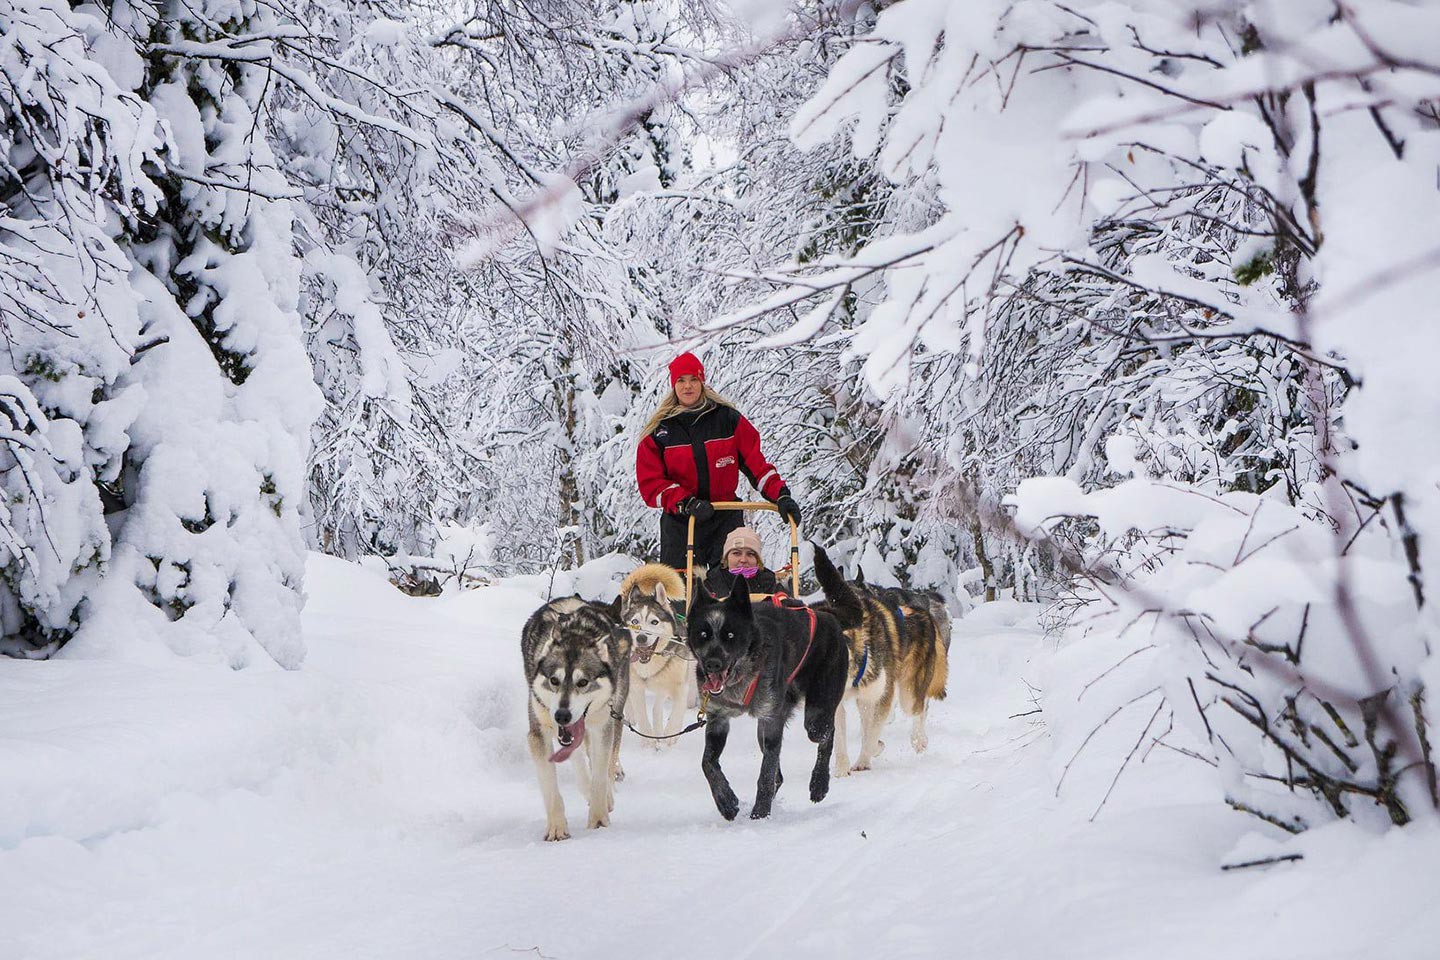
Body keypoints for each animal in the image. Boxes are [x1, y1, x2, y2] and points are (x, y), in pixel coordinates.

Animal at [521, 595, 627, 834]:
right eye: (554, 680)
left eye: (583, 682)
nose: (562, 715)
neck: (574, 633)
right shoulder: (539, 732)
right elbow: (550, 786)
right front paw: (557, 829)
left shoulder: (602, 726)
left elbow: (600, 776)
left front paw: (599, 820)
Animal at [613, 564, 691, 748]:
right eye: (635, 622)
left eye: (654, 622)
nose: (641, 638)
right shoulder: (637, 687)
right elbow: (642, 714)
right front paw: (648, 740)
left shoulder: (680, 686)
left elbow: (676, 711)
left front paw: (670, 734)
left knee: (658, 708)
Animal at [682, 587, 840, 817]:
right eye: (703, 634)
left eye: (731, 635)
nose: (713, 664)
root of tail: (827, 616)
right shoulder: (718, 720)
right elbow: (707, 763)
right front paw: (726, 801)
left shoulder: (771, 721)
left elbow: (766, 774)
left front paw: (760, 813)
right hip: (764, 729)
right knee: (779, 776)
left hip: (816, 719)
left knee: (827, 734)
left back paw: (819, 783)